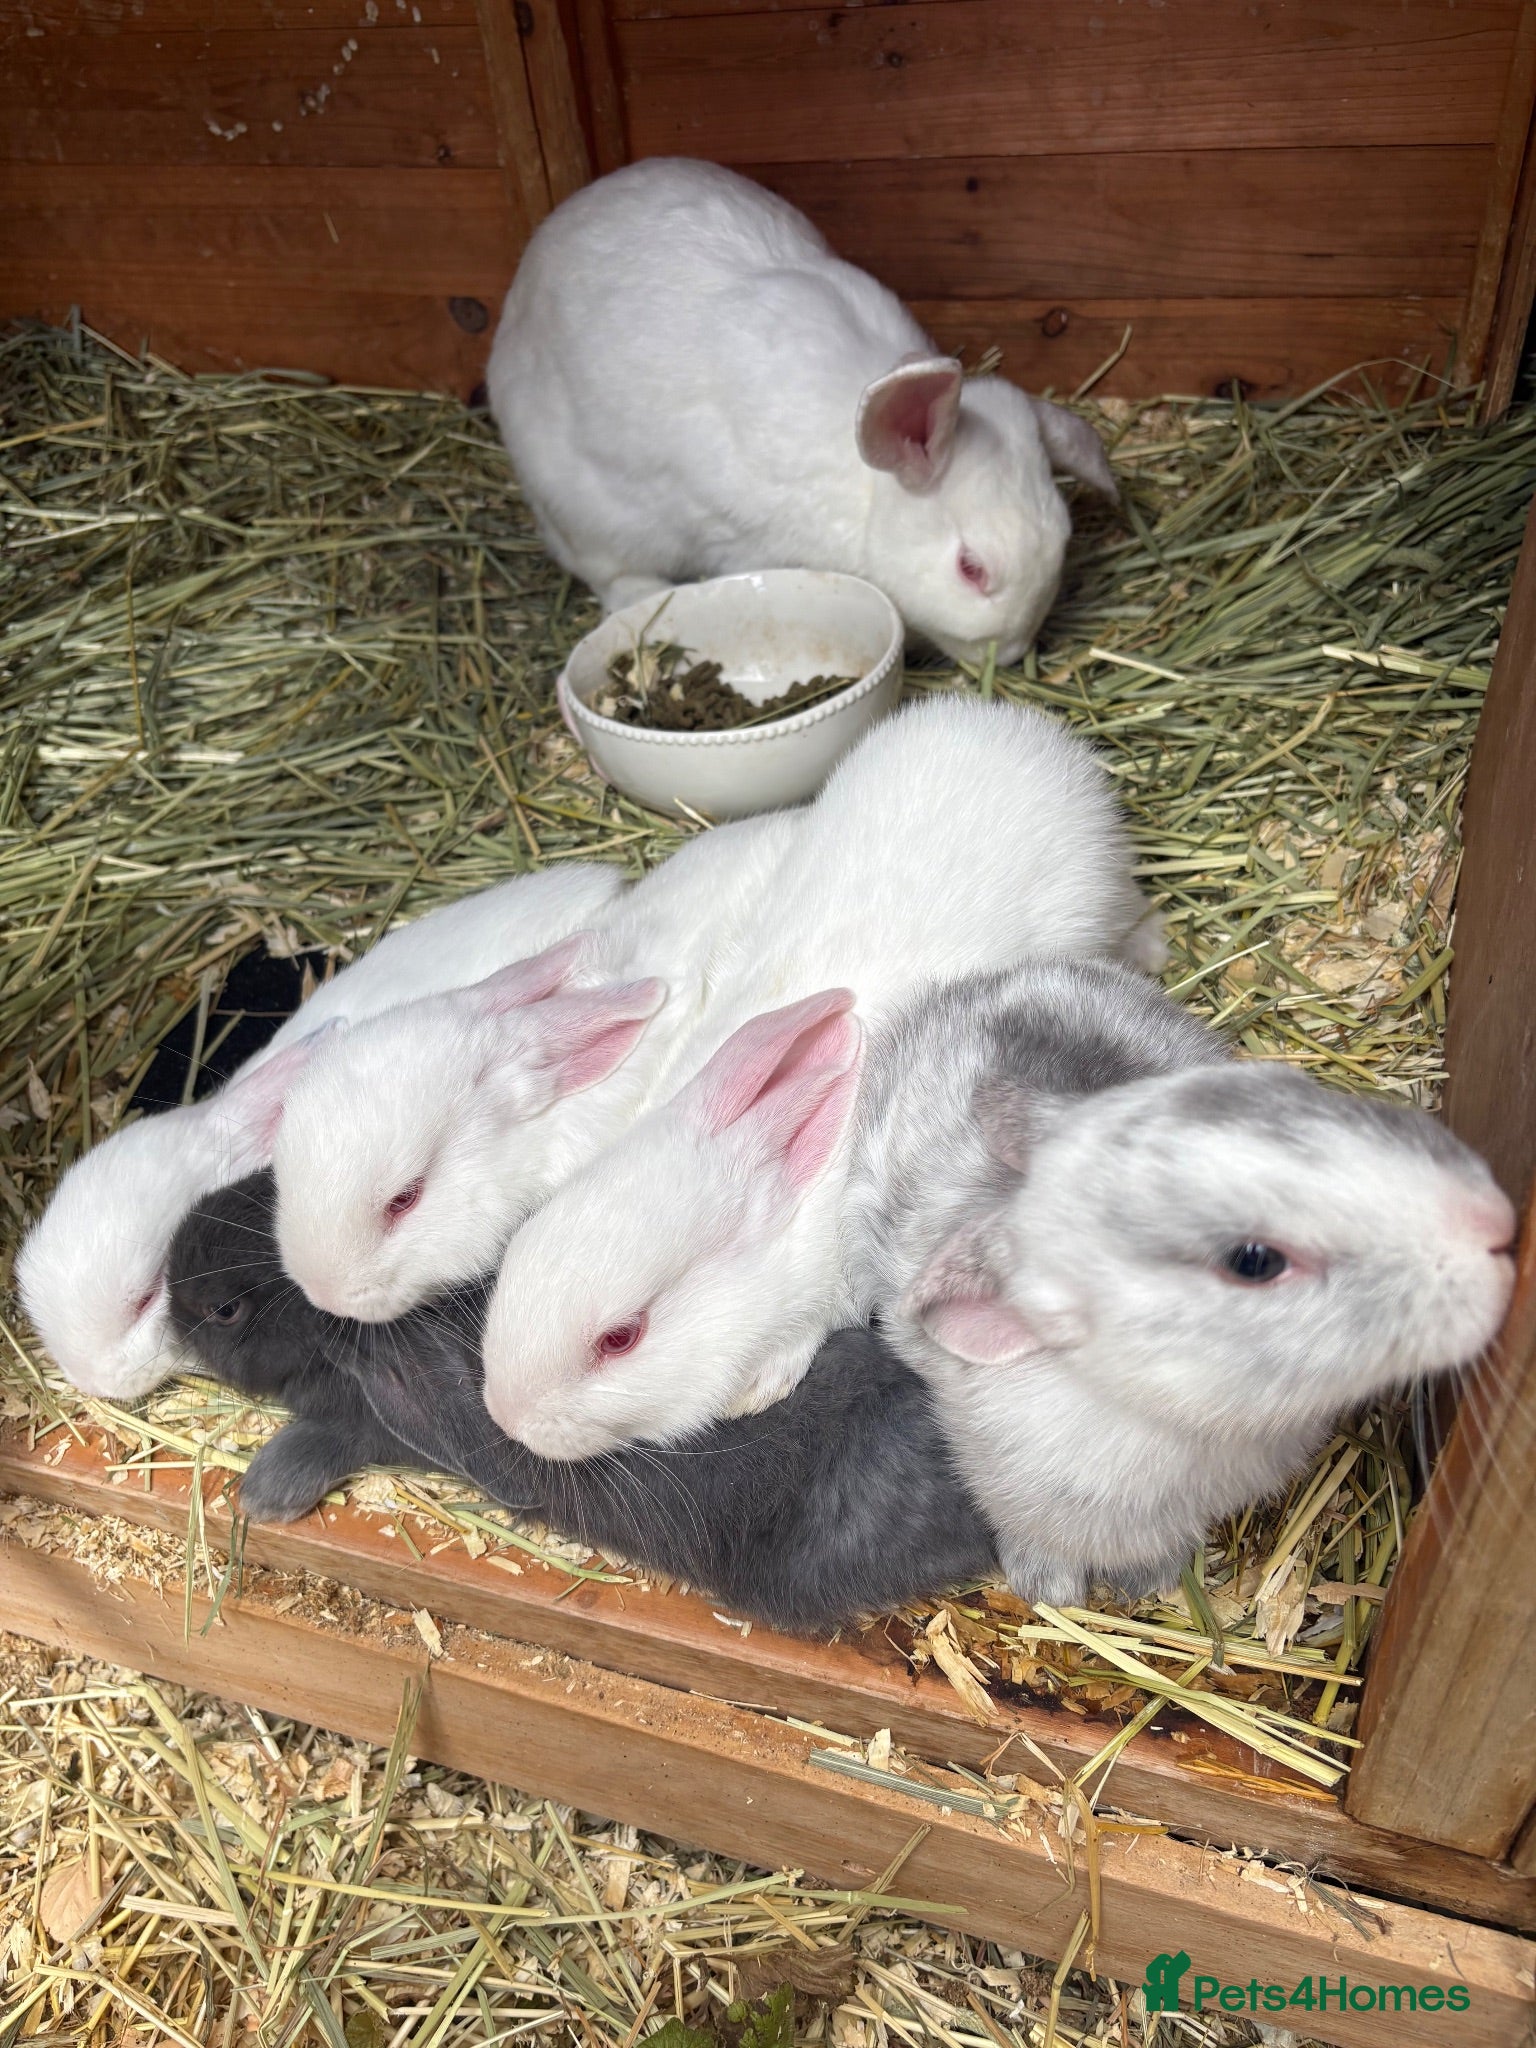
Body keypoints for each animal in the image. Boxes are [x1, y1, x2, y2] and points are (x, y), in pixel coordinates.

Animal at [479, 695, 1161, 1458]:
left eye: (621, 1338)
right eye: (516, 1252)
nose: (507, 1416)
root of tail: (1005, 720)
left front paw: (761, 1386)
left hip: (1097, 897)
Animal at [487, 157, 1117, 665]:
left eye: (1064, 540)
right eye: (971, 568)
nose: (1009, 655)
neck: (867, 489)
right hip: (584, 508)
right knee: (607, 569)